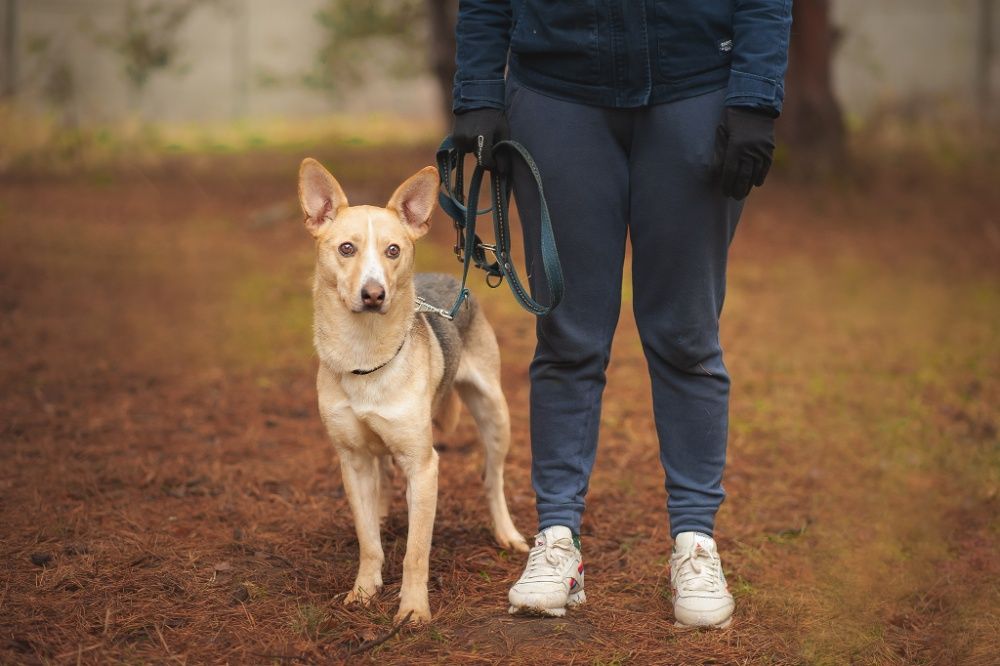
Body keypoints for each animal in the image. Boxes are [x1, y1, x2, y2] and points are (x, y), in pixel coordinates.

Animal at [296, 157, 532, 624]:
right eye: (346, 249)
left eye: (393, 250)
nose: (374, 294)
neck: (364, 356)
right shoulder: (352, 461)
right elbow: (368, 540)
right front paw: (364, 590)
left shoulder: (423, 467)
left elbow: (416, 552)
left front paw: (412, 610)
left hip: (494, 413)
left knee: (492, 478)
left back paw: (506, 532)